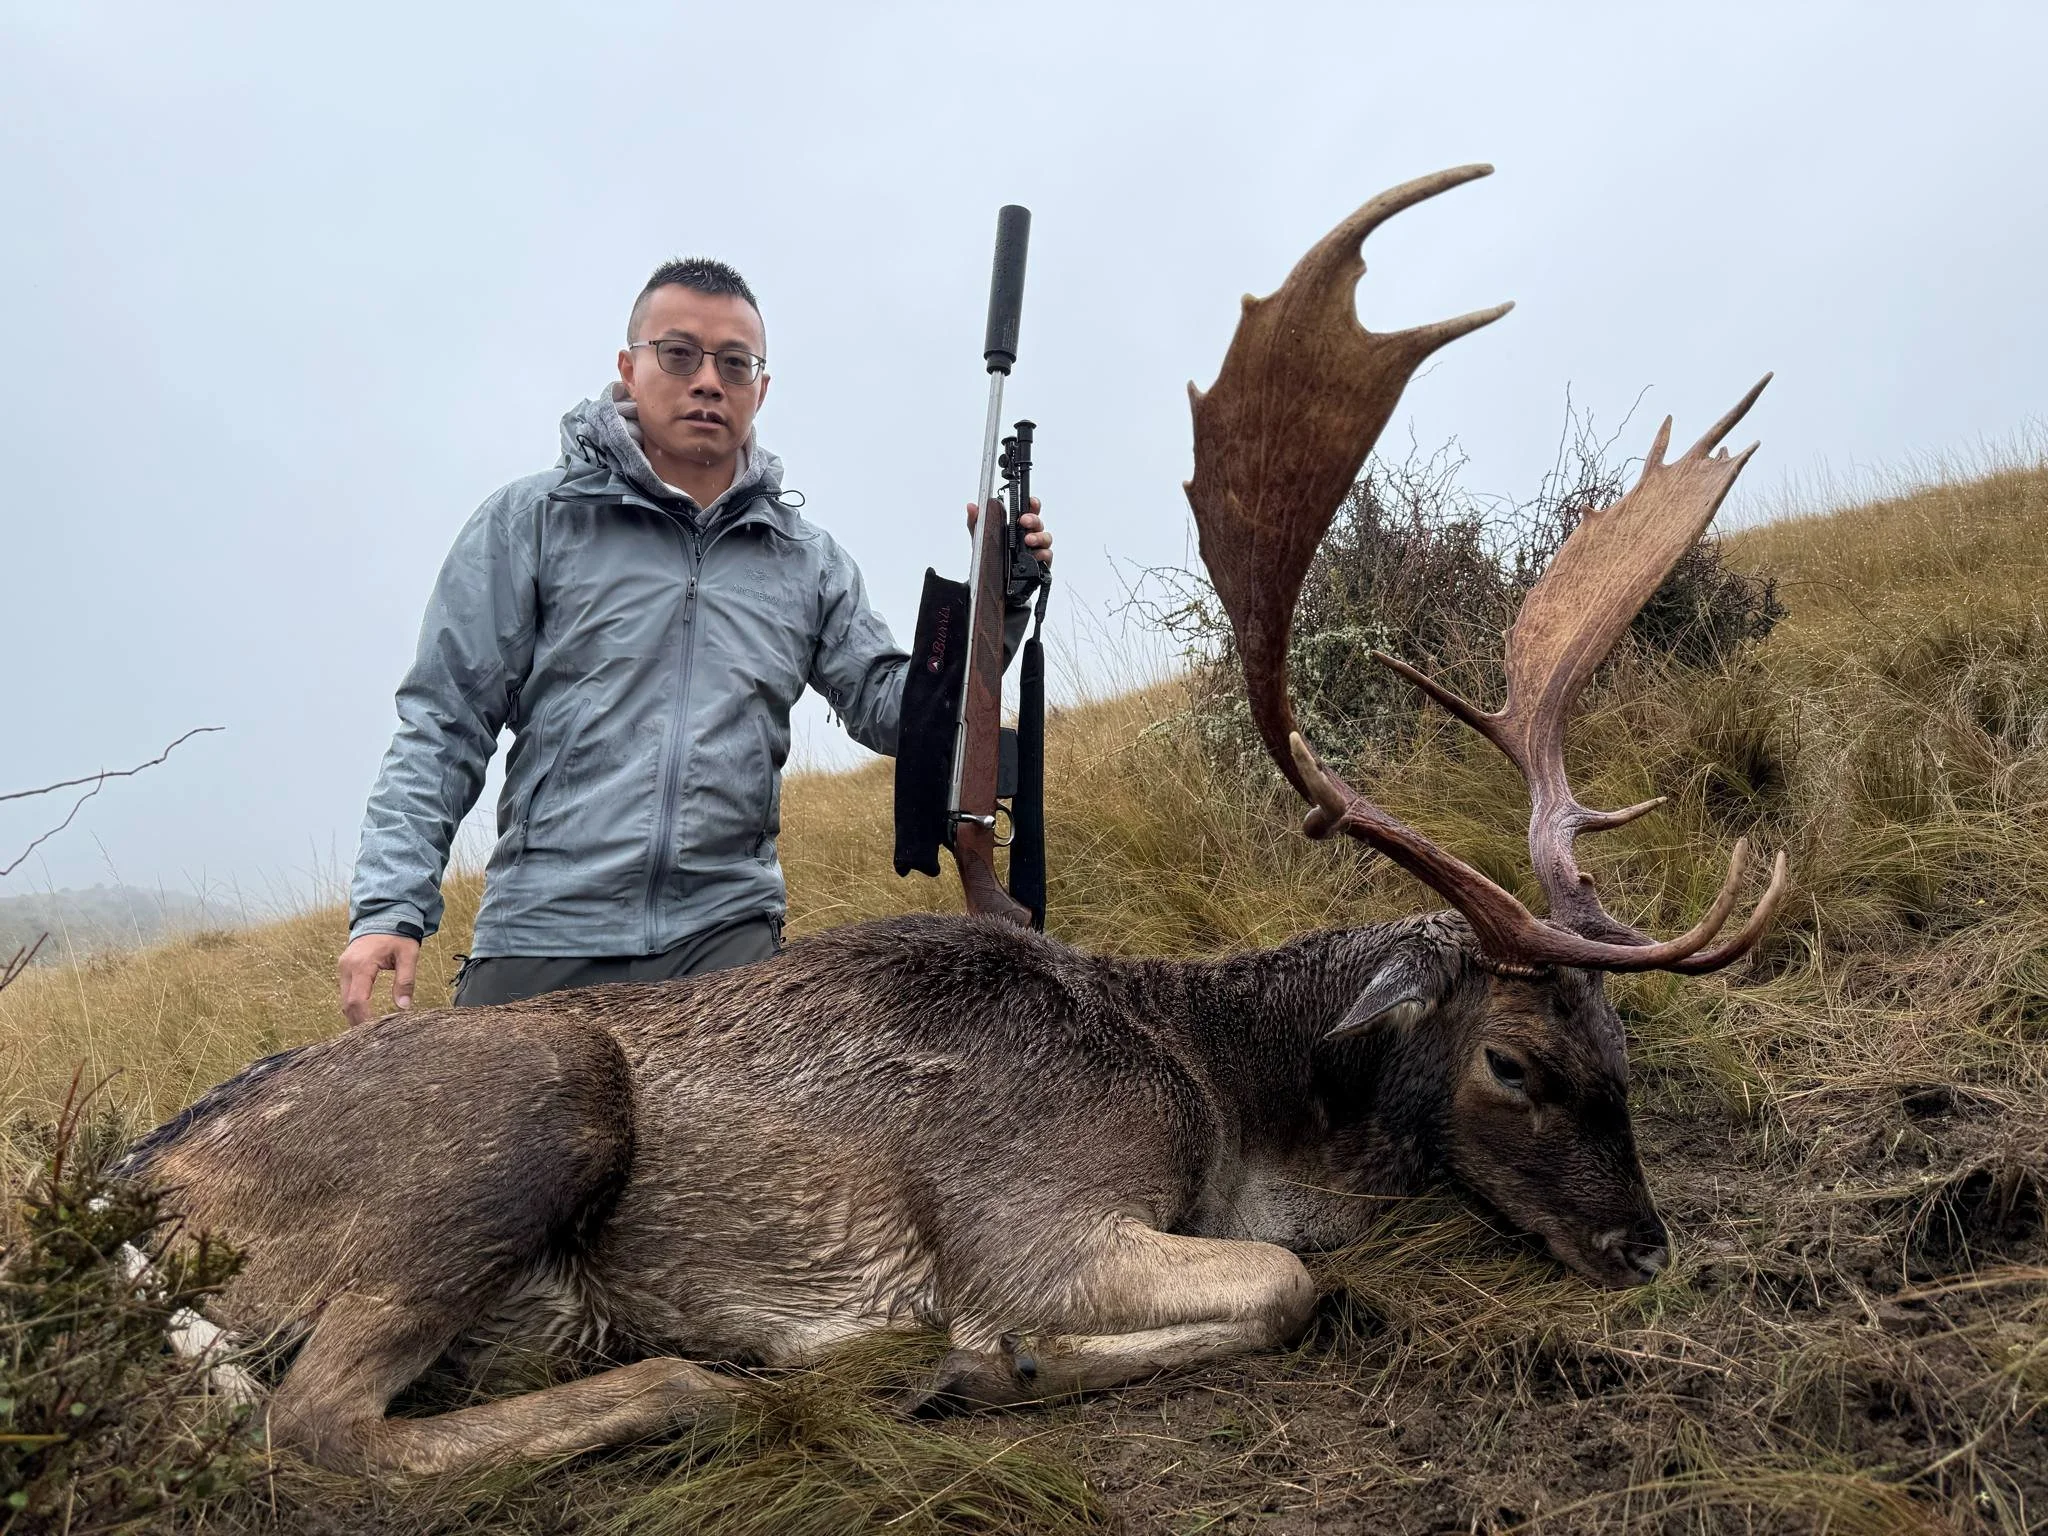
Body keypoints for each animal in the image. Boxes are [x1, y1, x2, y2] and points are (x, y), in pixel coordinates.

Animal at [122, 164, 1786, 1476]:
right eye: (1513, 1062)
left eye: (1622, 1043)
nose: (1644, 1247)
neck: (1225, 1097)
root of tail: (141, 1185)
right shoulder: (1023, 1215)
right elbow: (1280, 1284)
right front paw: (984, 1365)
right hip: (526, 1102)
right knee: (319, 1426)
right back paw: (694, 1382)